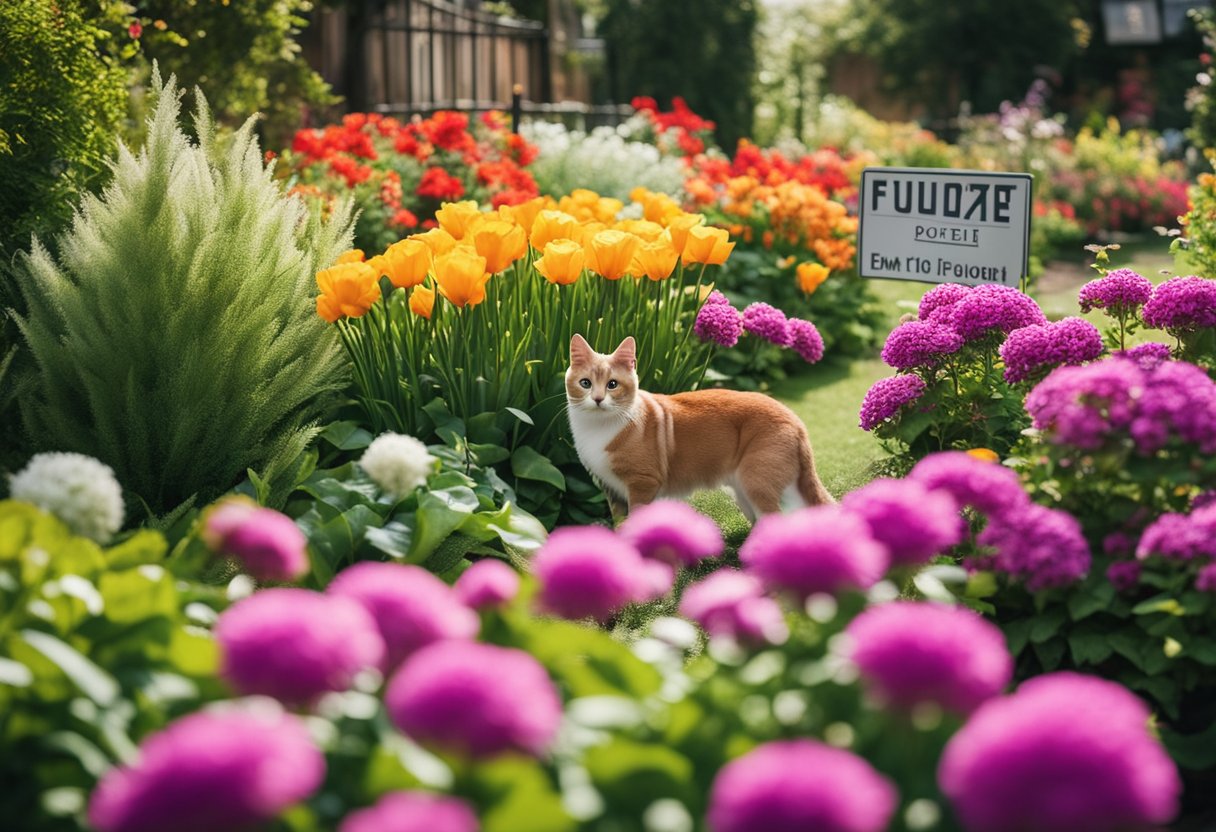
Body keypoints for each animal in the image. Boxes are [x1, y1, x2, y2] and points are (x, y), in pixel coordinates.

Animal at [561, 333, 831, 520]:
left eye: (612, 384)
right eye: (585, 383)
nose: (597, 399)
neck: (598, 427)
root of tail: (797, 421)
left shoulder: (643, 483)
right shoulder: (612, 491)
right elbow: (619, 525)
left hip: (758, 481)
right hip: (749, 490)